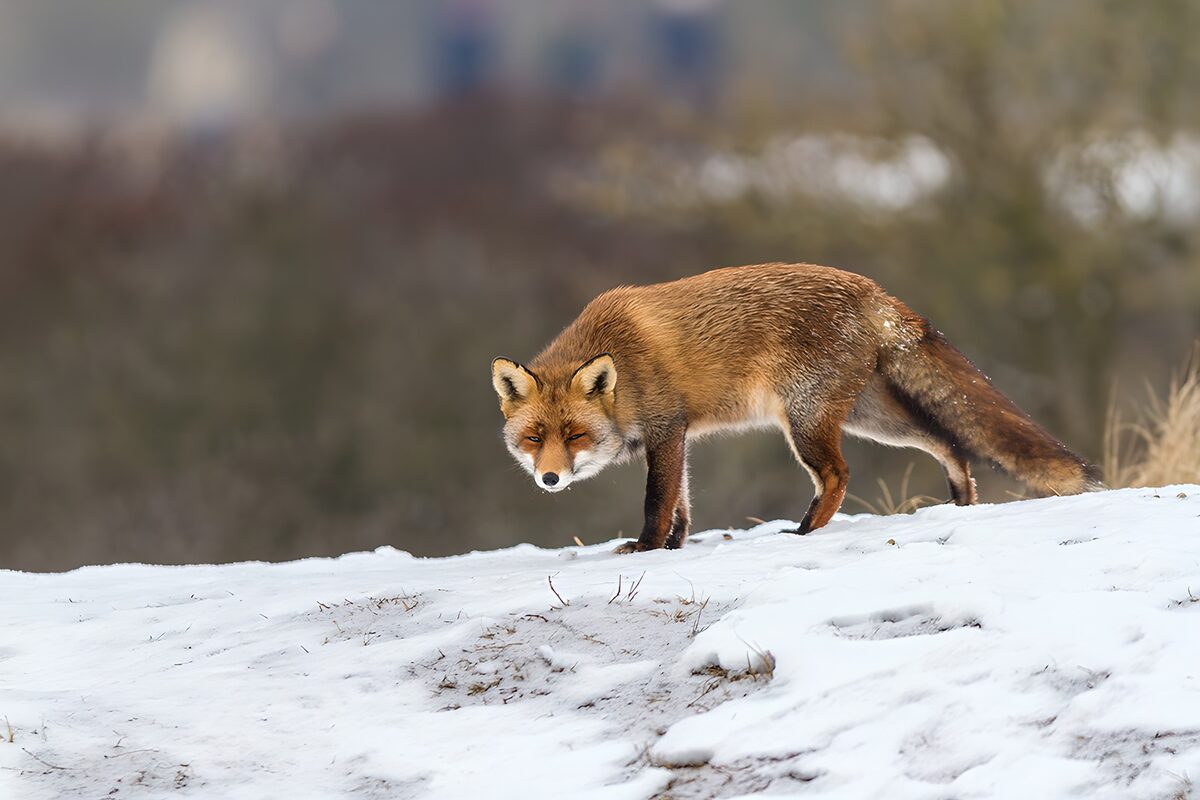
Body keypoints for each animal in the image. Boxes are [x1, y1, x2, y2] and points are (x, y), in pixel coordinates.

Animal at [490, 263, 1100, 553]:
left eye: (575, 436)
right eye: (533, 438)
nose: (549, 479)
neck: (624, 364)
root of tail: (871, 289)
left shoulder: (666, 431)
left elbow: (657, 502)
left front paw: (645, 550)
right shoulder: (679, 436)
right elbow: (682, 505)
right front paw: (673, 547)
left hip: (805, 421)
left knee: (838, 474)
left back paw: (804, 532)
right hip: (871, 418)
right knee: (948, 441)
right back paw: (962, 502)